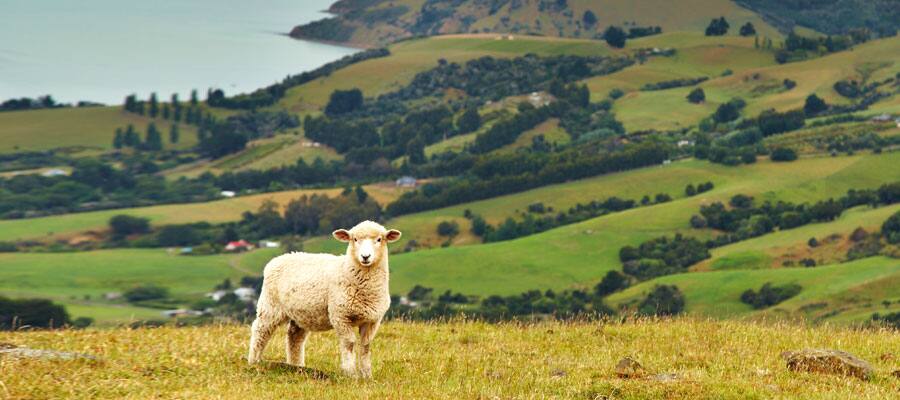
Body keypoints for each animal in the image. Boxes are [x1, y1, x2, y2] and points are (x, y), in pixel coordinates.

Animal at [246, 219, 400, 378]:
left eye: (379, 239)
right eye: (355, 239)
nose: (365, 256)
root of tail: (278, 259)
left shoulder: (372, 320)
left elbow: (365, 346)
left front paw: (367, 375)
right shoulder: (340, 315)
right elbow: (349, 343)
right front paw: (350, 373)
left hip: (300, 314)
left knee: (294, 337)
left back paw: (297, 366)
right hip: (270, 306)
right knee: (260, 330)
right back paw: (254, 361)